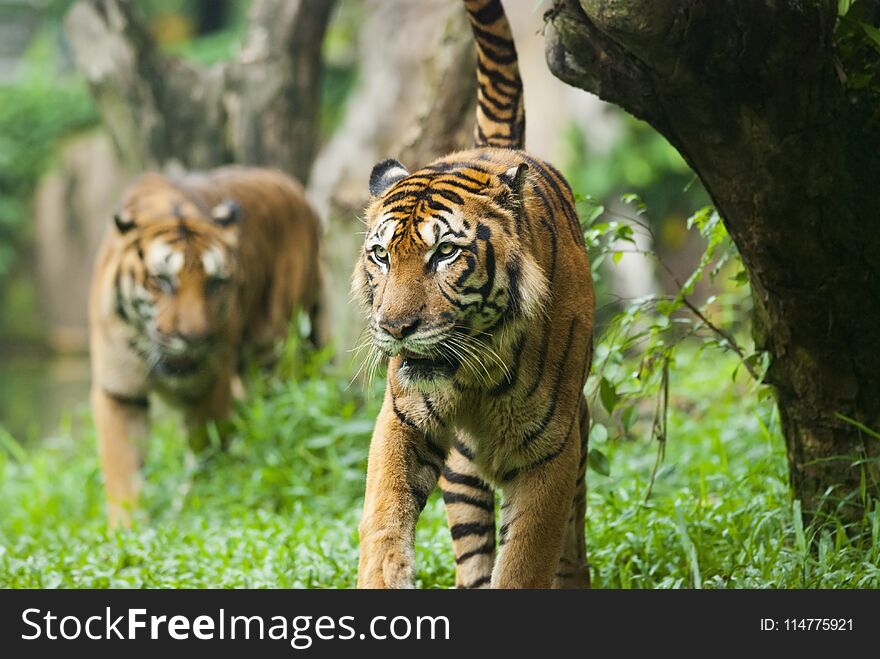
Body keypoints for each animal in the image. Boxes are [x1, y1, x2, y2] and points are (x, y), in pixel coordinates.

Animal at [90, 168, 326, 528]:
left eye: (215, 283)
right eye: (162, 280)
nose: (193, 337)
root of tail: (290, 184)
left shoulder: (211, 384)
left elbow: (205, 452)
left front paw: (191, 509)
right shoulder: (119, 390)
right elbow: (123, 468)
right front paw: (125, 529)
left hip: (276, 356)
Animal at [354, 0, 596, 592]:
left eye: (444, 253)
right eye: (381, 255)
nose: (394, 329)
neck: (478, 371)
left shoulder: (551, 453)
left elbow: (528, 559)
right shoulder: (402, 418)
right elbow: (384, 517)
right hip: (463, 469)